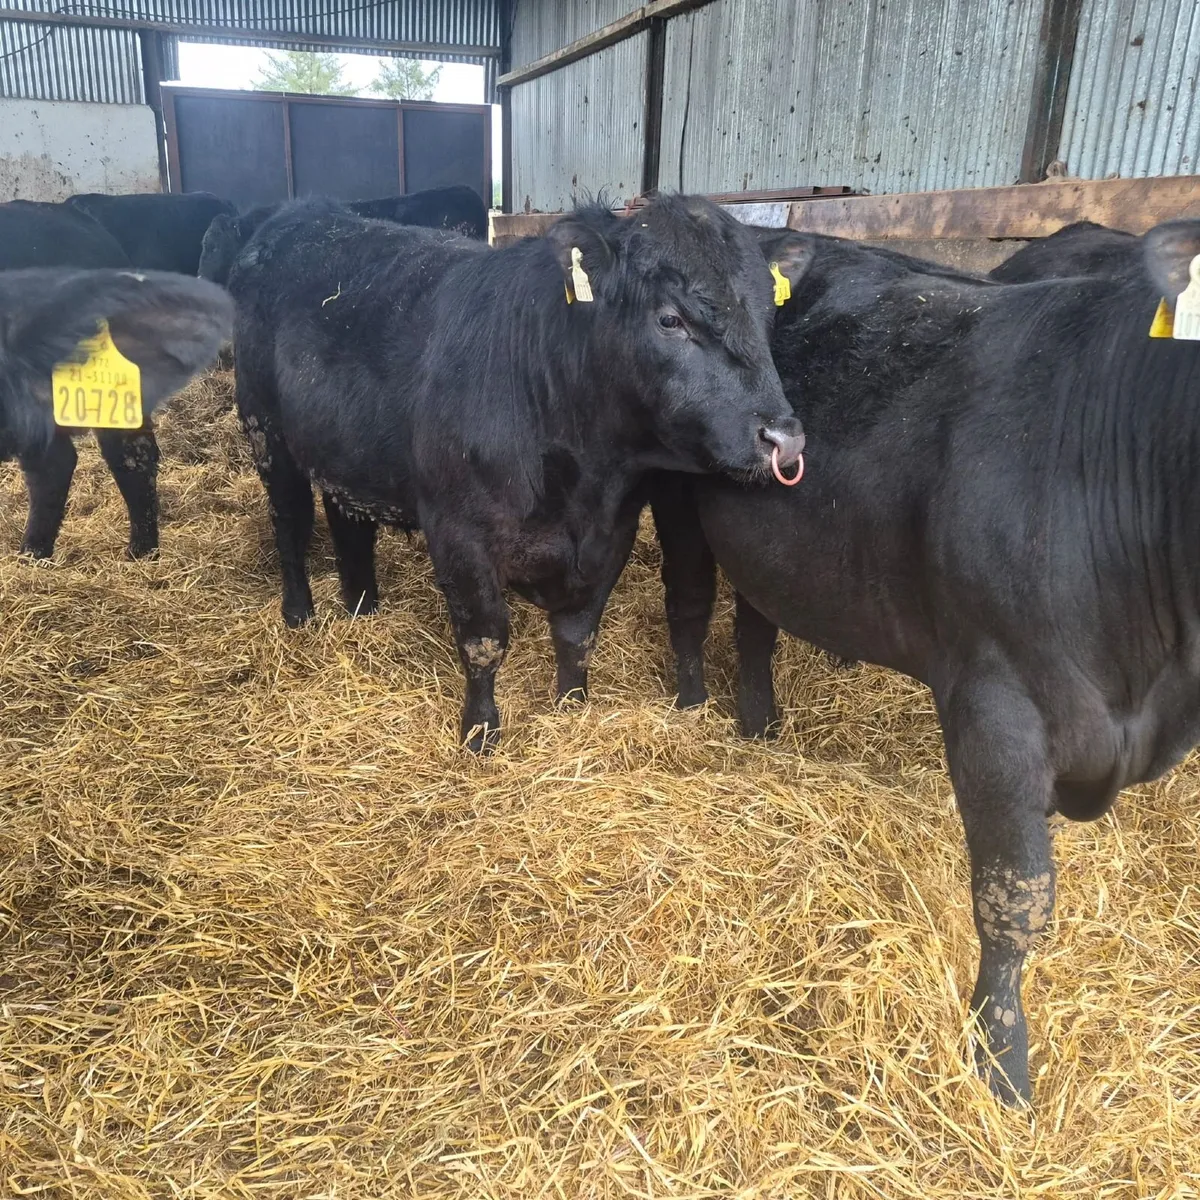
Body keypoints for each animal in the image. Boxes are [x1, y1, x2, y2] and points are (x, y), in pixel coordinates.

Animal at [226, 194, 806, 752]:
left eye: (768, 314)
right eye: (670, 319)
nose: (784, 437)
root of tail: (303, 213)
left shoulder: (611, 533)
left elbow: (577, 634)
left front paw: (571, 707)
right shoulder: (459, 533)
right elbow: (484, 640)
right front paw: (480, 731)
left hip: (345, 450)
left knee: (347, 520)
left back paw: (362, 608)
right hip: (265, 430)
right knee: (289, 522)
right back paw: (298, 612)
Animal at [652, 219, 1200, 1105]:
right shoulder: (995, 705)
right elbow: (1015, 895)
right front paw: (1001, 1063)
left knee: (758, 618)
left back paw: (761, 723)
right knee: (691, 598)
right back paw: (695, 706)